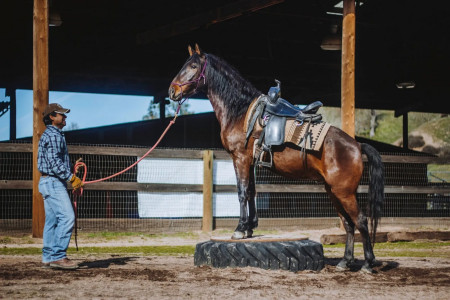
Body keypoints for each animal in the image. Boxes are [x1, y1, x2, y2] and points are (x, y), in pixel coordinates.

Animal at [168, 45, 384, 274]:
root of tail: (356, 145)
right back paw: (345, 261)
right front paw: (249, 229)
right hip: (334, 191)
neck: (241, 111)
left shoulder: (240, 158)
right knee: (348, 223)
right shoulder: (250, 162)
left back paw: (368, 263)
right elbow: (251, 192)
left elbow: (242, 193)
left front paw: (239, 229)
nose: (172, 91)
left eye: (193, 66)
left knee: (360, 220)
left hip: (344, 193)